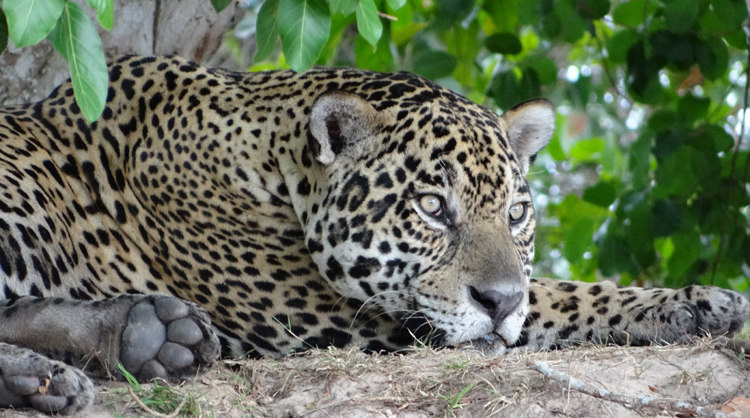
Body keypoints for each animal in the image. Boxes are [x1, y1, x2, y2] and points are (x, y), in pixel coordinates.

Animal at [0, 55, 747, 415]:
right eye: (432, 208)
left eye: (515, 213)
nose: (500, 302)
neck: (272, 159)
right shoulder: (315, 311)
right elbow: (562, 296)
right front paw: (699, 302)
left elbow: (548, 290)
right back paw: (47, 376)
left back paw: (136, 337)